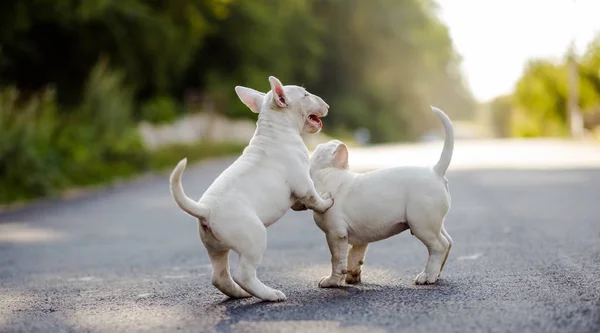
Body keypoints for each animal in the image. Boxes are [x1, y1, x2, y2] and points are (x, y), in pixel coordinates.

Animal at [170, 76, 332, 300]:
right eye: (306, 95)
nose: (327, 106)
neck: (275, 129)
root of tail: (206, 210)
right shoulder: (303, 183)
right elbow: (315, 198)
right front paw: (327, 202)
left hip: (215, 247)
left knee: (219, 275)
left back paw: (238, 294)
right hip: (254, 238)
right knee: (243, 273)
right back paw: (270, 294)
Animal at [298, 107, 458, 286]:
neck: (327, 173)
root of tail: (436, 172)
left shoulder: (336, 234)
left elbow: (337, 260)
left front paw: (332, 281)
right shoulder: (359, 238)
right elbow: (354, 255)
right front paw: (352, 276)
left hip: (421, 224)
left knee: (439, 246)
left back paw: (427, 276)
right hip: (433, 222)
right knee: (448, 241)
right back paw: (437, 273)